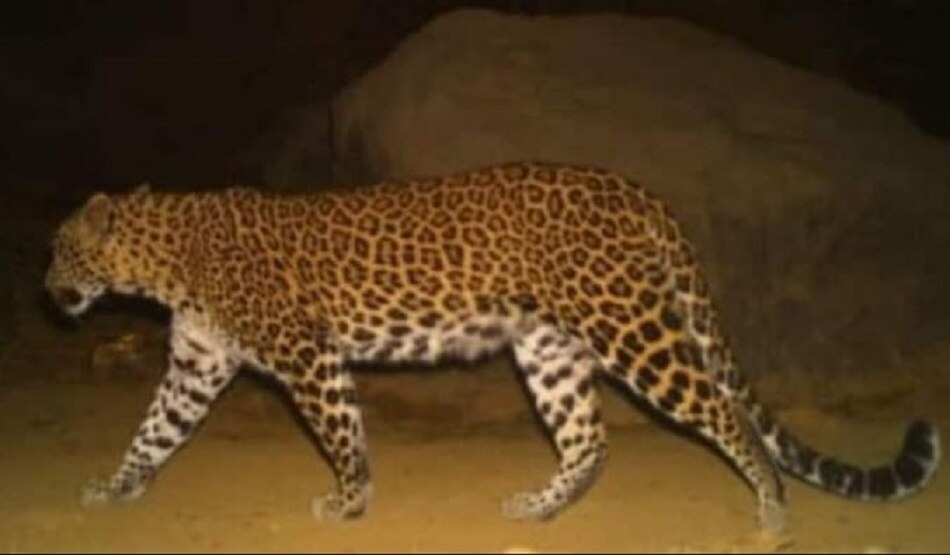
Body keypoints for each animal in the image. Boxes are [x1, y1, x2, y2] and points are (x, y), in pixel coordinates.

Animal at [45, 161, 940, 533]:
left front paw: (349, 501)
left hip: (628, 324)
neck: (166, 259)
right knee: (589, 438)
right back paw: (540, 508)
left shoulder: (307, 354)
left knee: (721, 407)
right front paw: (113, 487)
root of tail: (634, 189)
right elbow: (153, 431)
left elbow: (340, 431)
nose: (47, 288)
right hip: (549, 347)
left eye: (59, 249)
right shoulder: (198, 366)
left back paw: (772, 509)